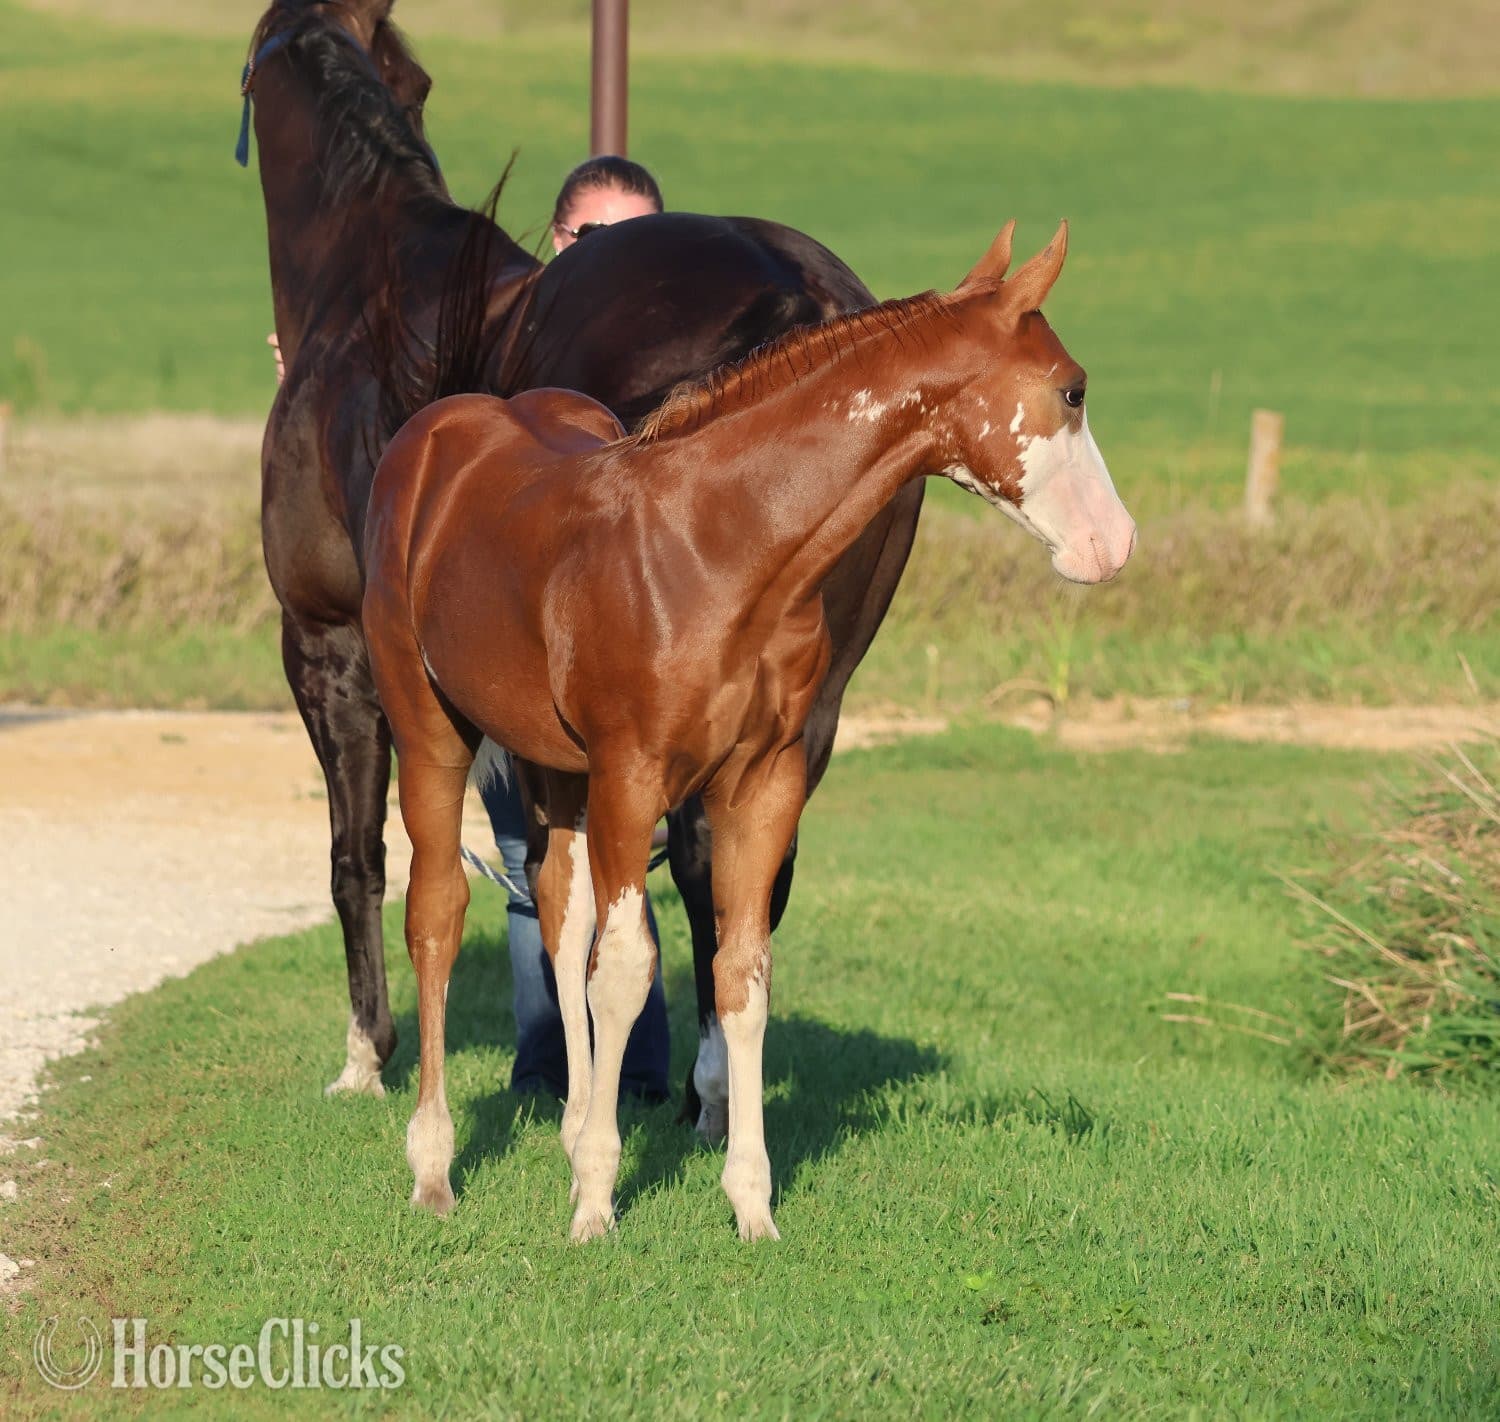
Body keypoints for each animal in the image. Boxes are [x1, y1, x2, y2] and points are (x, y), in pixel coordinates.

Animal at [245, 0, 921, 1110]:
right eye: (418, 78)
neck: (371, 284)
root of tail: (802, 299)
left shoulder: (327, 642)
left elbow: (359, 856)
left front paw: (367, 1054)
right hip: (812, 695)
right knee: (740, 871)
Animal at [362, 220, 1137, 1241]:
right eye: (1073, 388)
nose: (1114, 546)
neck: (719, 547)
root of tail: (429, 436)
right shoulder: (633, 776)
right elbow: (630, 969)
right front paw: (597, 1206)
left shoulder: (764, 781)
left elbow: (741, 971)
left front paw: (750, 1205)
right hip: (432, 735)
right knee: (438, 914)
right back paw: (434, 1165)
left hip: (552, 765)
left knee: (559, 915)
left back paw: (568, 1127)